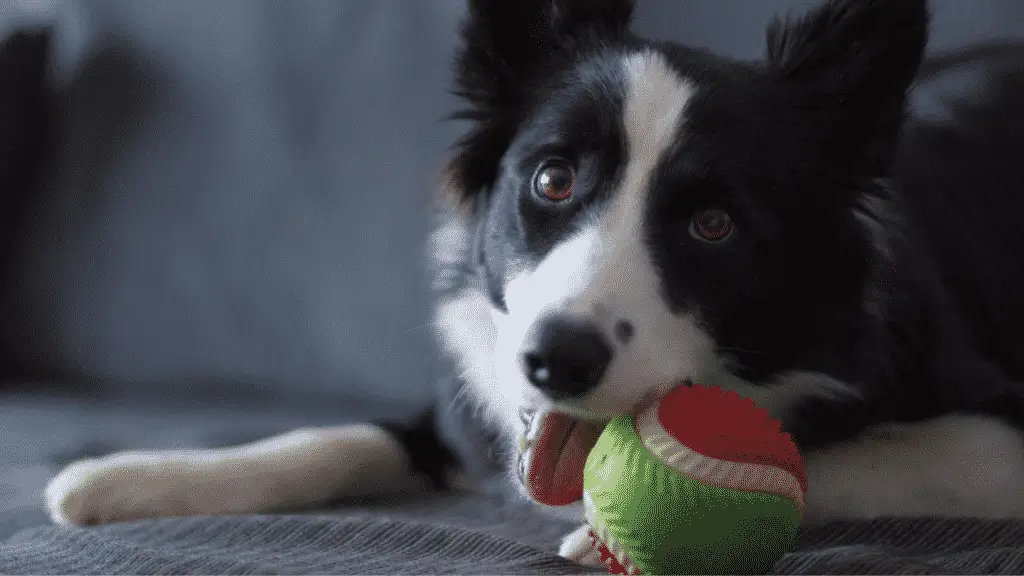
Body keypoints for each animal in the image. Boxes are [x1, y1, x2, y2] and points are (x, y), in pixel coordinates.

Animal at [44, 0, 1024, 565]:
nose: (556, 360)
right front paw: (122, 479)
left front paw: (603, 532)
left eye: (713, 225)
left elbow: (836, 458)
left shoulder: (990, 429)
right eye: (553, 179)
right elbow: (344, 437)